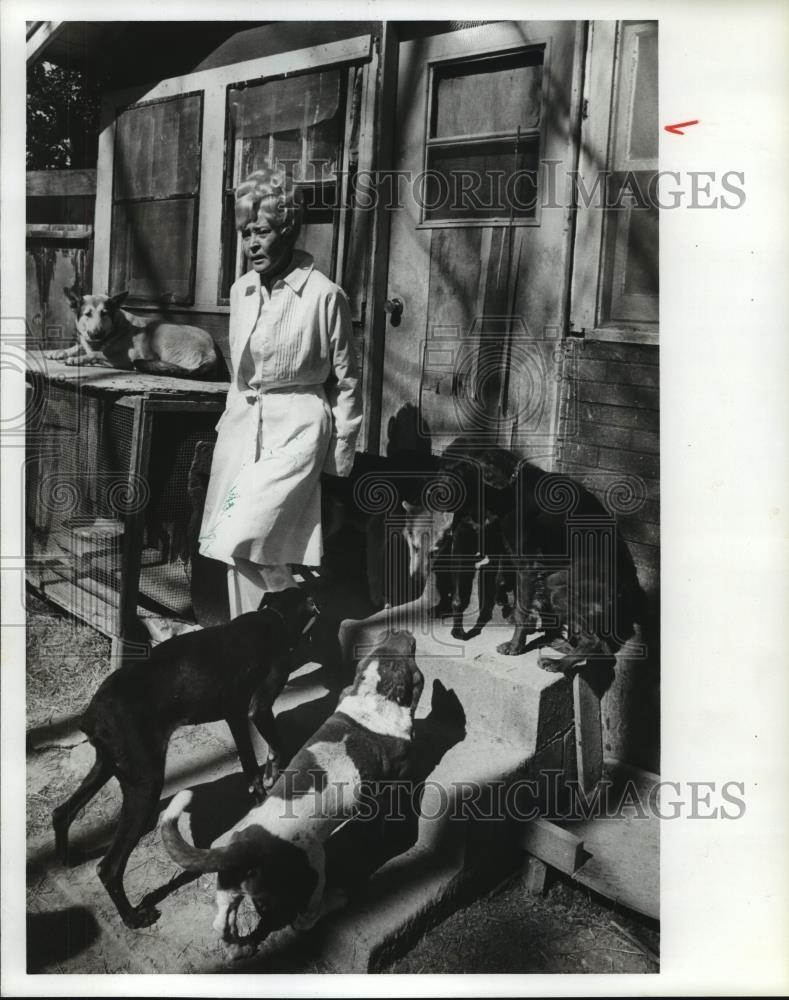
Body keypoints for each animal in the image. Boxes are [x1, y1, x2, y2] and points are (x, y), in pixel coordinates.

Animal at [45, 290, 222, 382]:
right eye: (87, 314)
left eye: (104, 314)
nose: (97, 333)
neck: (114, 327)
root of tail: (211, 351)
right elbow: (79, 346)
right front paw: (57, 352)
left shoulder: (124, 359)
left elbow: (96, 353)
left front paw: (77, 359)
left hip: (160, 331)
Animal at [50, 584, 318, 928]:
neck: (273, 617)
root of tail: (91, 715)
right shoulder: (257, 708)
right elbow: (276, 747)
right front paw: (271, 779)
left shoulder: (235, 716)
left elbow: (250, 767)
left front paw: (260, 793)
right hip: (145, 784)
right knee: (108, 868)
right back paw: (134, 918)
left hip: (108, 766)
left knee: (61, 813)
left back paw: (65, 858)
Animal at [157, 628, 422, 948]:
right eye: (409, 648)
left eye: (385, 641)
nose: (403, 630)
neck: (373, 698)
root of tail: (244, 849)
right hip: (315, 867)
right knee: (304, 920)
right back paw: (335, 900)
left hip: (229, 887)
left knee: (223, 922)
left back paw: (237, 945)